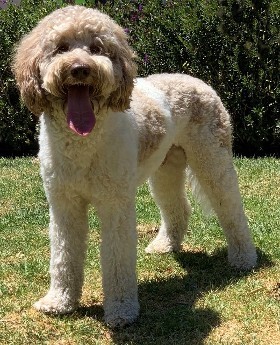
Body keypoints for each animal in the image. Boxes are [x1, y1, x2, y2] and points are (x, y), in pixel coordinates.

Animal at [12, 6, 258, 328]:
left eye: (97, 48)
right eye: (61, 48)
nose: (79, 69)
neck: (83, 144)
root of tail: (196, 80)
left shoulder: (115, 203)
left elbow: (117, 257)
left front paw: (121, 310)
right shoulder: (64, 203)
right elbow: (63, 254)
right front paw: (59, 302)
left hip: (212, 159)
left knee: (231, 208)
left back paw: (244, 258)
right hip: (165, 169)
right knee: (178, 208)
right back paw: (165, 245)